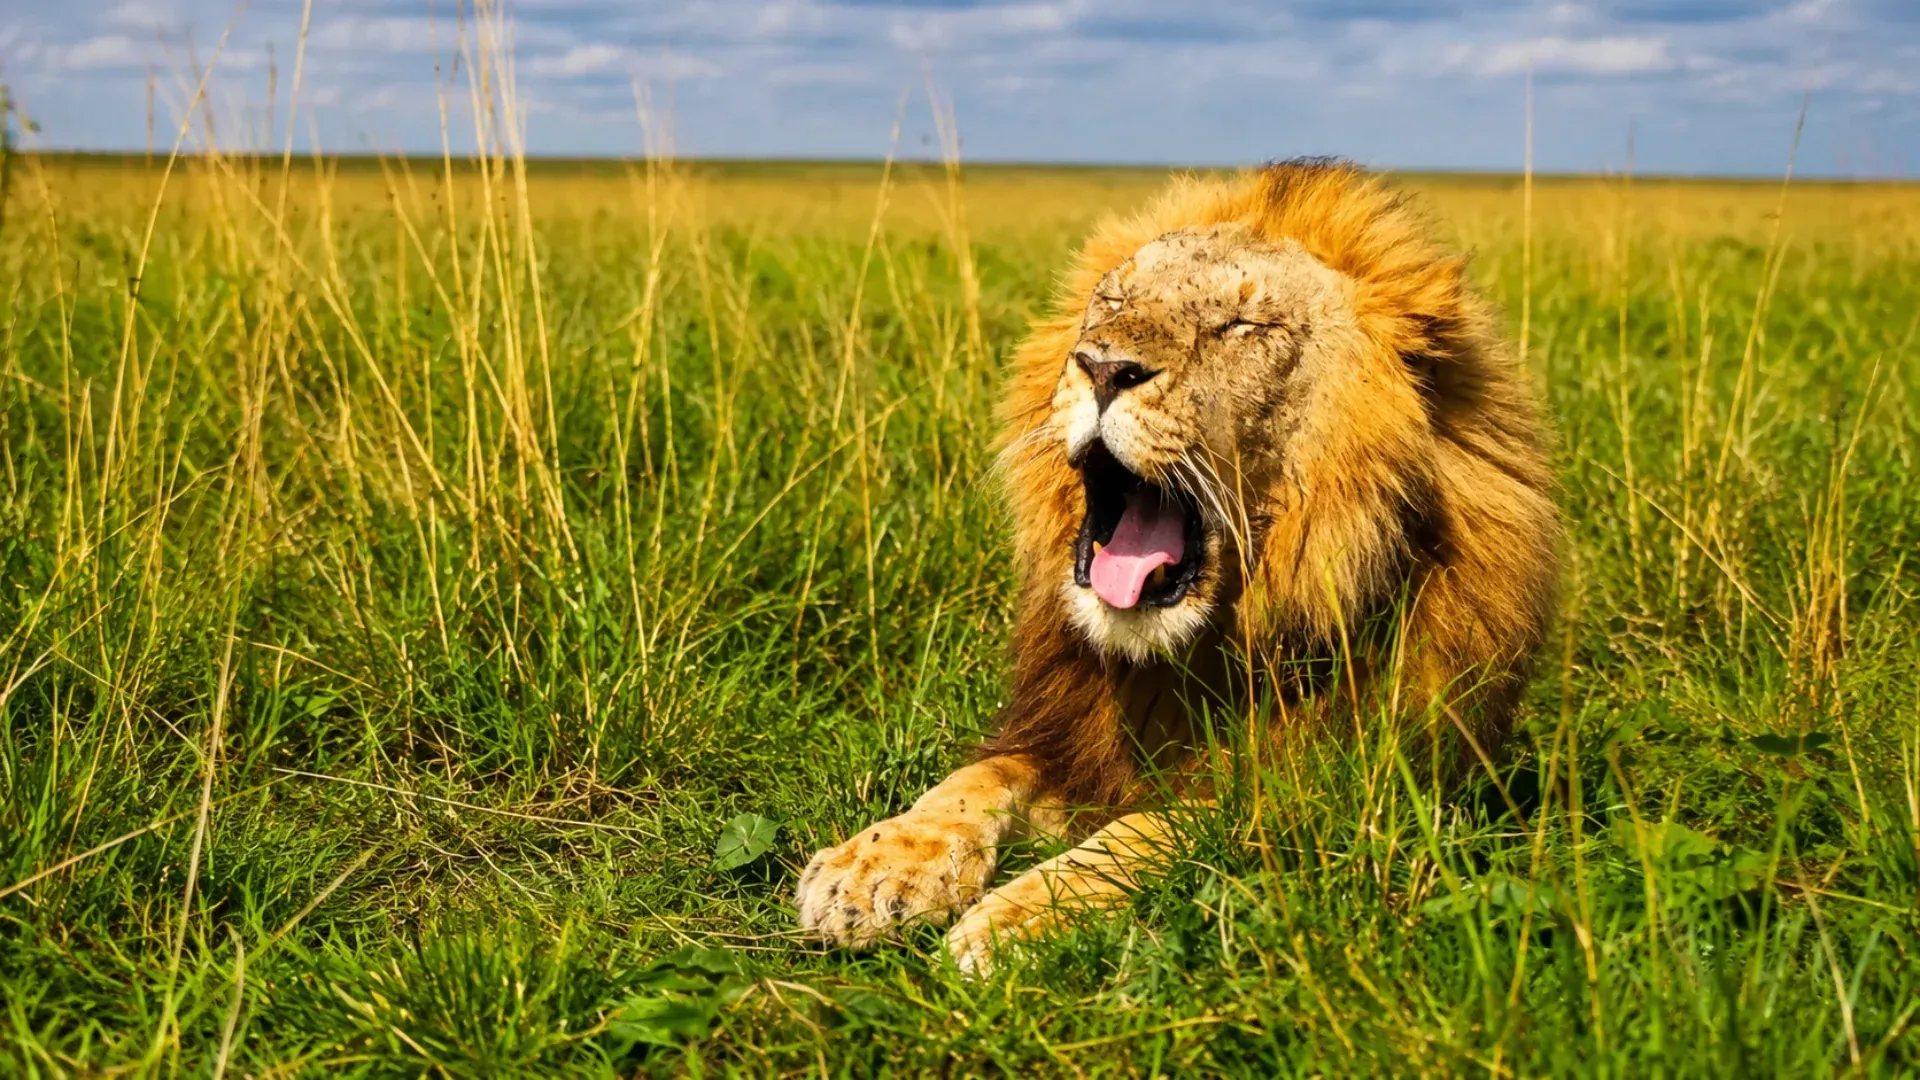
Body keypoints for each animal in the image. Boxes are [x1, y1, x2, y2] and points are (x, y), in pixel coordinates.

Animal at [795, 159, 1560, 975]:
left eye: (1243, 327)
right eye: (1113, 302)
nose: (1103, 367)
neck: (1184, 660)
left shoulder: (1324, 796)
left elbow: (1151, 832)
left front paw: (1014, 920)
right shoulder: (1061, 732)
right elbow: (972, 780)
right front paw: (872, 868)